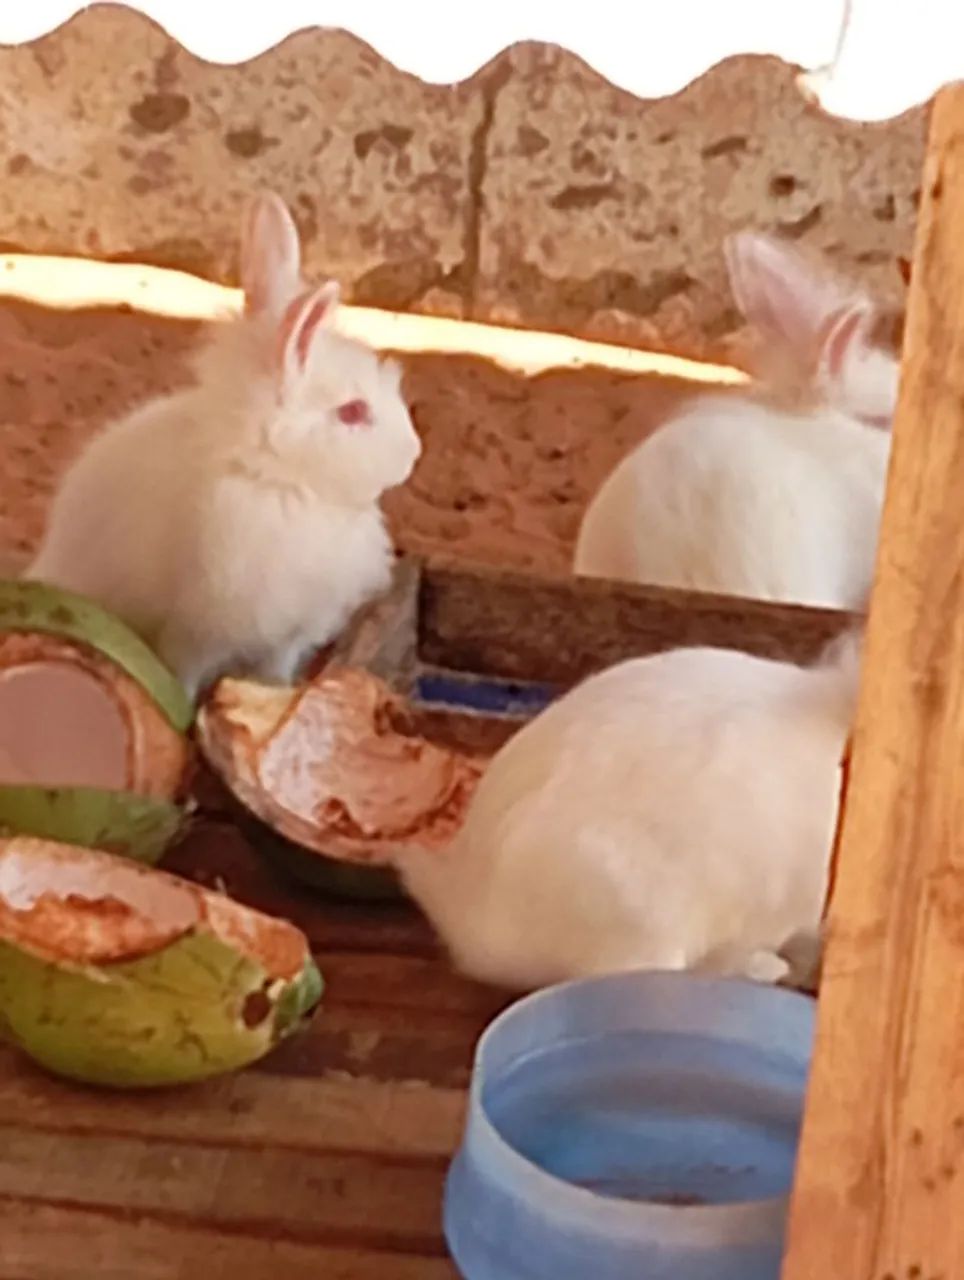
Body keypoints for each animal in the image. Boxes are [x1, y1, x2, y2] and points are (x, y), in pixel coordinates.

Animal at [26, 192, 422, 699]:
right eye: (352, 412)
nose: (413, 454)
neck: (277, 479)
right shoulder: (197, 630)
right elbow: (183, 677)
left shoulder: (288, 633)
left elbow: (276, 671)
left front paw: (279, 692)